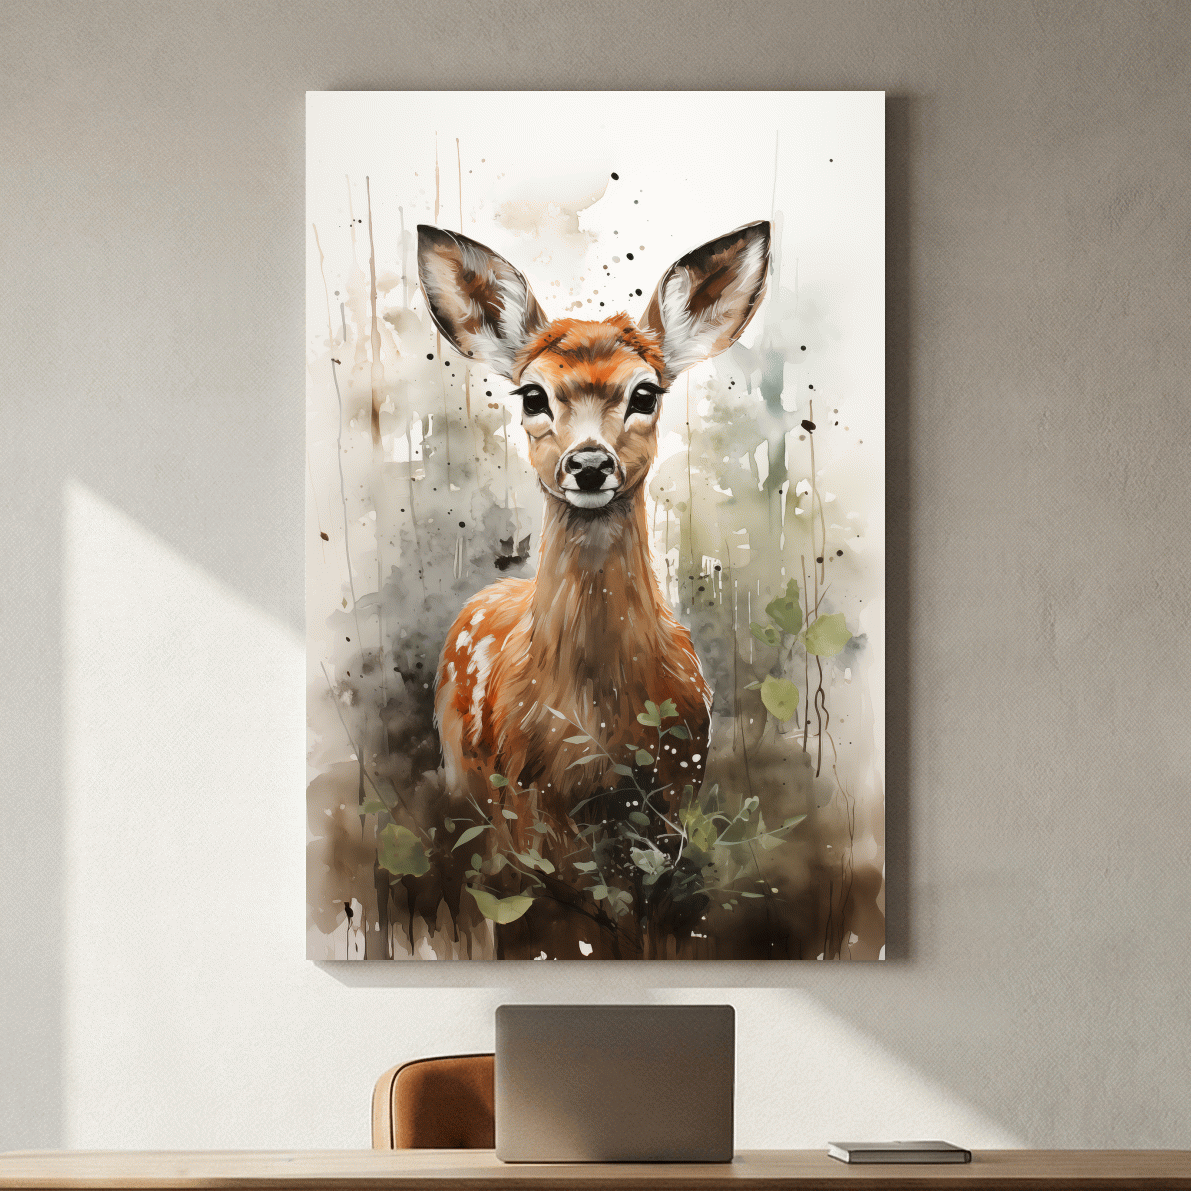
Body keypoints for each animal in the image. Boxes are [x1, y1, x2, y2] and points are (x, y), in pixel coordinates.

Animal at [417, 221, 770, 866]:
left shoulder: (678, 789)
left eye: (646, 394)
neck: (597, 727)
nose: (587, 464)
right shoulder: (523, 801)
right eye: (532, 396)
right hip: (463, 773)